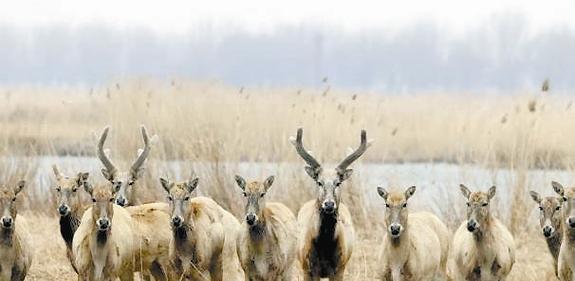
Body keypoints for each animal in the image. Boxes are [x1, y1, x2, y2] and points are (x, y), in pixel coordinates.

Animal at [288, 127, 368, 280]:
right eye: (319, 182)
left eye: (338, 183)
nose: (329, 204)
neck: (324, 245)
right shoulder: (307, 267)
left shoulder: (339, 267)